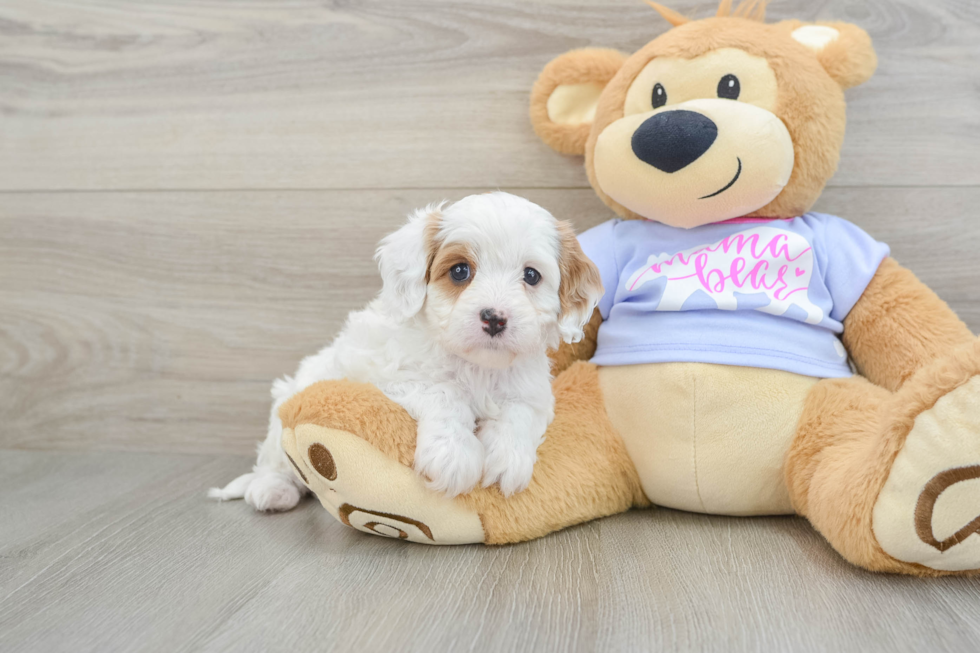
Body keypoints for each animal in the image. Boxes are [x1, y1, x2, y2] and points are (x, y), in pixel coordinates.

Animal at [211, 191, 600, 512]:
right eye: (460, 271)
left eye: (531, 276)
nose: (494, 317)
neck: (477, 366)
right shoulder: (390, 379)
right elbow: (445, 394)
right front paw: (454, 456)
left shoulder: (532, 393)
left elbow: (519, 414)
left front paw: (508, 459)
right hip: (289, 404)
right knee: (274, 460)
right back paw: (273, 490)